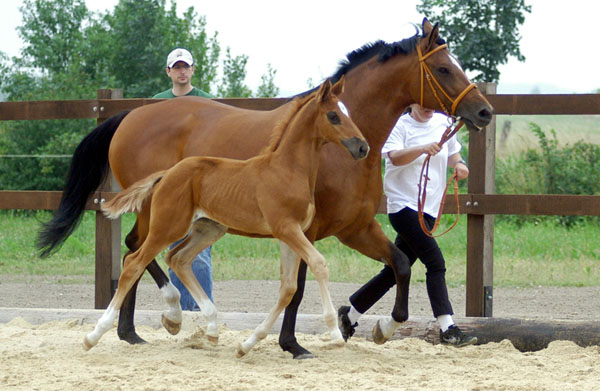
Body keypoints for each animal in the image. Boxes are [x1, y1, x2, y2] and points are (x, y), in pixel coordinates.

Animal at [82, 78, 368, 356]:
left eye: (348, 112)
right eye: (333, 116)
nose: (362, 147)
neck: (287, 169)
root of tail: (167, 173)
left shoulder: (291, 234)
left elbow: (288, 288)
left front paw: (248, 344)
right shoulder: (286, 228)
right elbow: (319, 264)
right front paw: (334, 334)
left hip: (208, 229)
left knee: (178, 259)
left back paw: (210, 328)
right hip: (168, 226)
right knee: (134, 262)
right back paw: (94, 335)